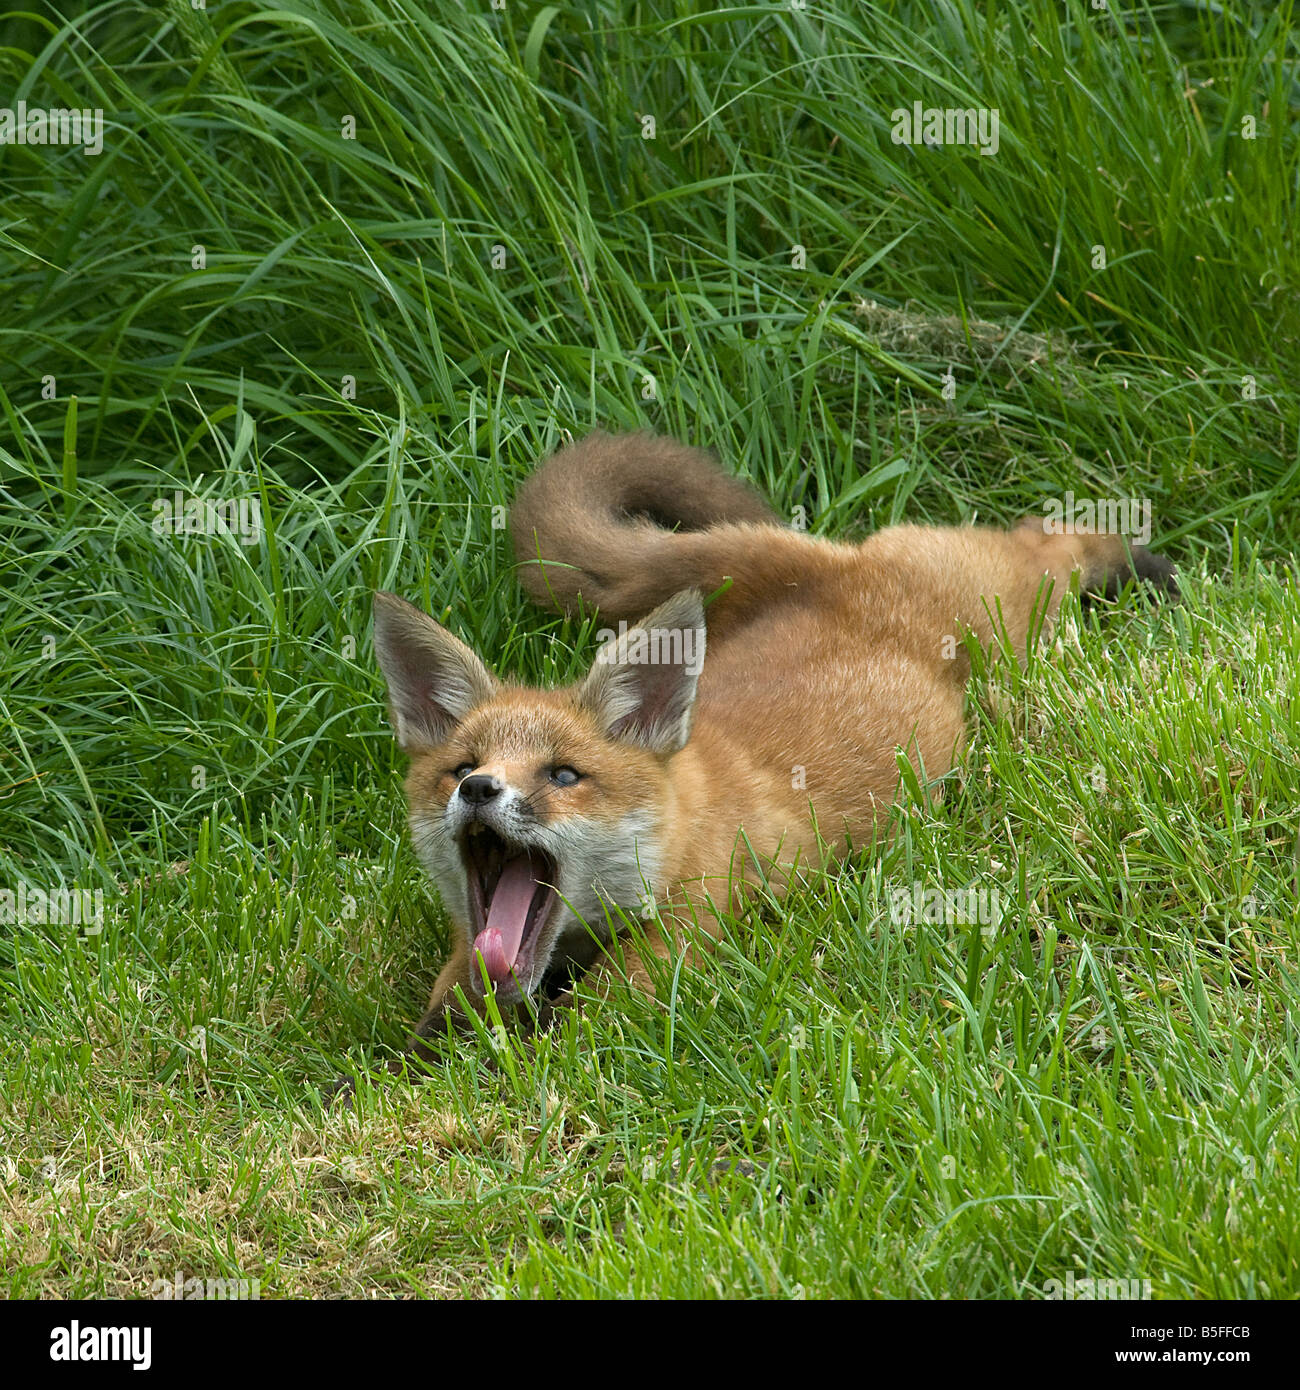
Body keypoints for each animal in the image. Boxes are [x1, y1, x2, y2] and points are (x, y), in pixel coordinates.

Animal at [372, 430, 1176, 1057]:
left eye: (564, 775)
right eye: (461, 768)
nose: (480, 790)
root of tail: (837, 568)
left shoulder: (689, 929)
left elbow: (590, 1025)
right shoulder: (476, 952)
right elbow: (445, 1007)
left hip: (1015, 614)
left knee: (1045, 538)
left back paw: (1136, 565)